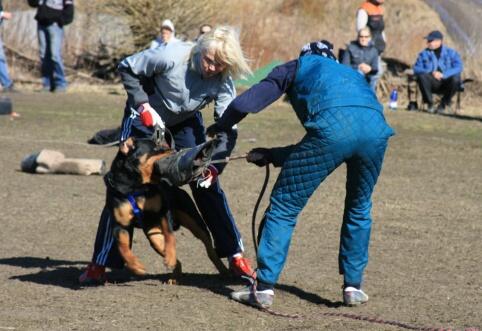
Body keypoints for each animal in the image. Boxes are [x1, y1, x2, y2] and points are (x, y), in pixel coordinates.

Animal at [105, 137, 232, 286]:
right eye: (155, 148)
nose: (173, 150)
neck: (136, 187)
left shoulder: (163, 212)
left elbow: (169, 235)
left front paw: (170, 257)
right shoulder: (120, 226)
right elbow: (123, 248)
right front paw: (135, 266)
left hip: (195, 222)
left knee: (210, 249)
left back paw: (225, 271)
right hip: (153, 235)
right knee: (167, 251)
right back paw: (175, 274)